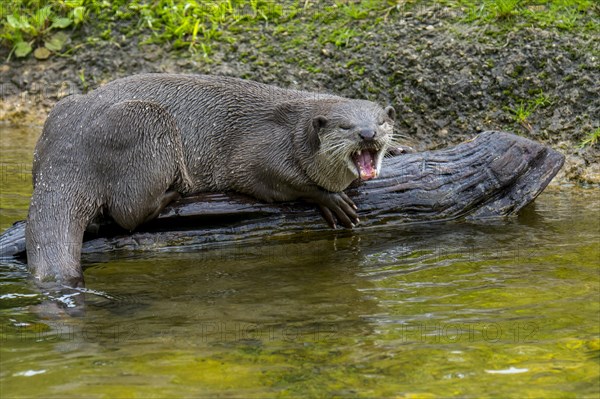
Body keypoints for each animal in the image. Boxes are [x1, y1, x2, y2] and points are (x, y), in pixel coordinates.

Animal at [25, 74, 396, 288]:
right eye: (345, 126)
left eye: (380, 121)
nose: (367, 134)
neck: (295, 127)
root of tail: (69, 148)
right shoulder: (258, 150)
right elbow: (273, 178)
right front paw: (328, 198)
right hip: (144, 121)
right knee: (127, 213)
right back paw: (172, 195)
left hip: (61, 111)